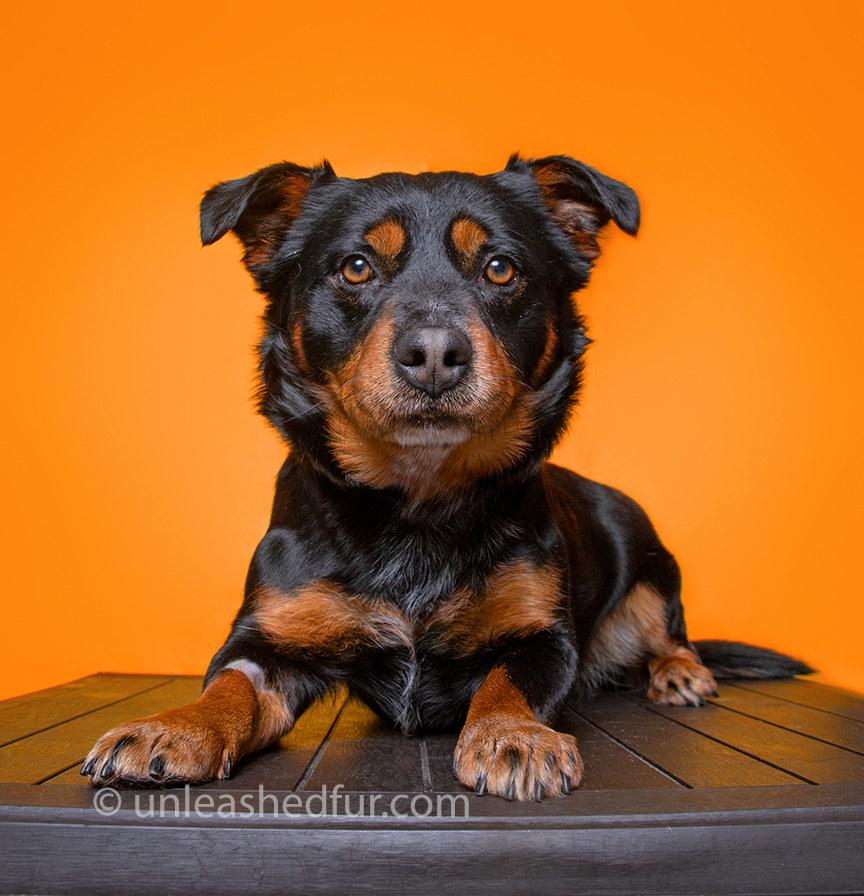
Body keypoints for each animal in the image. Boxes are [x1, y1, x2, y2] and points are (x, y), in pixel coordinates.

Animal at [81, 152, 808, 800]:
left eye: (500, 268)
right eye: (355, 267)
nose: (433, 351)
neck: (416, 503)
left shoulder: (542, 638)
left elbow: (507, 684)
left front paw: (515, 735)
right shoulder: (268, 641)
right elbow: (228, 684)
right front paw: (171, 728)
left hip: (654, 568)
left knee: (671, 636)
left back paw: (680, 673)